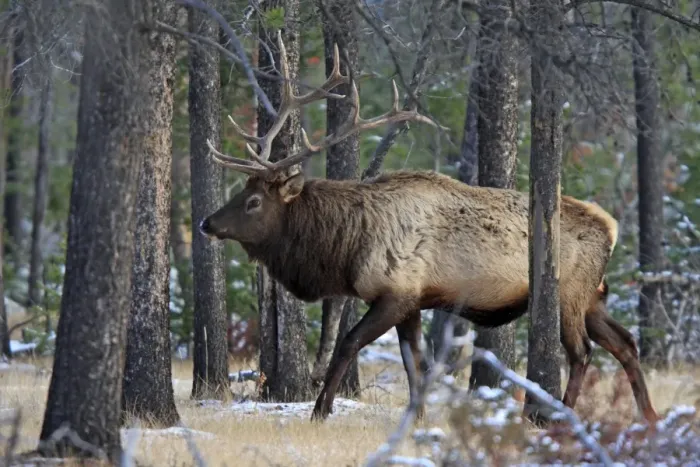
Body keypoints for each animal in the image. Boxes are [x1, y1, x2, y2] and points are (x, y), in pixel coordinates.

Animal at [200, 31, 659, 424]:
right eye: (243, 191)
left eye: (253, 202)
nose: (207, 222)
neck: (347, 247)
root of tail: (612, 227)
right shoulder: (413, 302)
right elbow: (415, 365)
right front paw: (417, 418)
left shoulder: (395, 291)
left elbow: (349, 344)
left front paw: (320, 410)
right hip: (593, 296)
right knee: (625, 343)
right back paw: (650, 416)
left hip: (569, 292)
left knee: (582, 352)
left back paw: (561, 417)